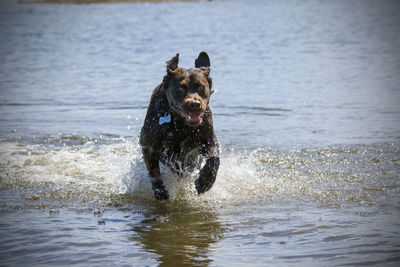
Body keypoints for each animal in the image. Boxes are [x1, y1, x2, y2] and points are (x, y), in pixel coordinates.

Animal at [140, 51, 219, 201]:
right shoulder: (149, 145)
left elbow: (214, 159)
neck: (181, 125)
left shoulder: (208, 139)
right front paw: (160, 191)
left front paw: (205, 182)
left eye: (201, 87)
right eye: (181, 88)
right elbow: (153, 171)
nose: (194, 104)